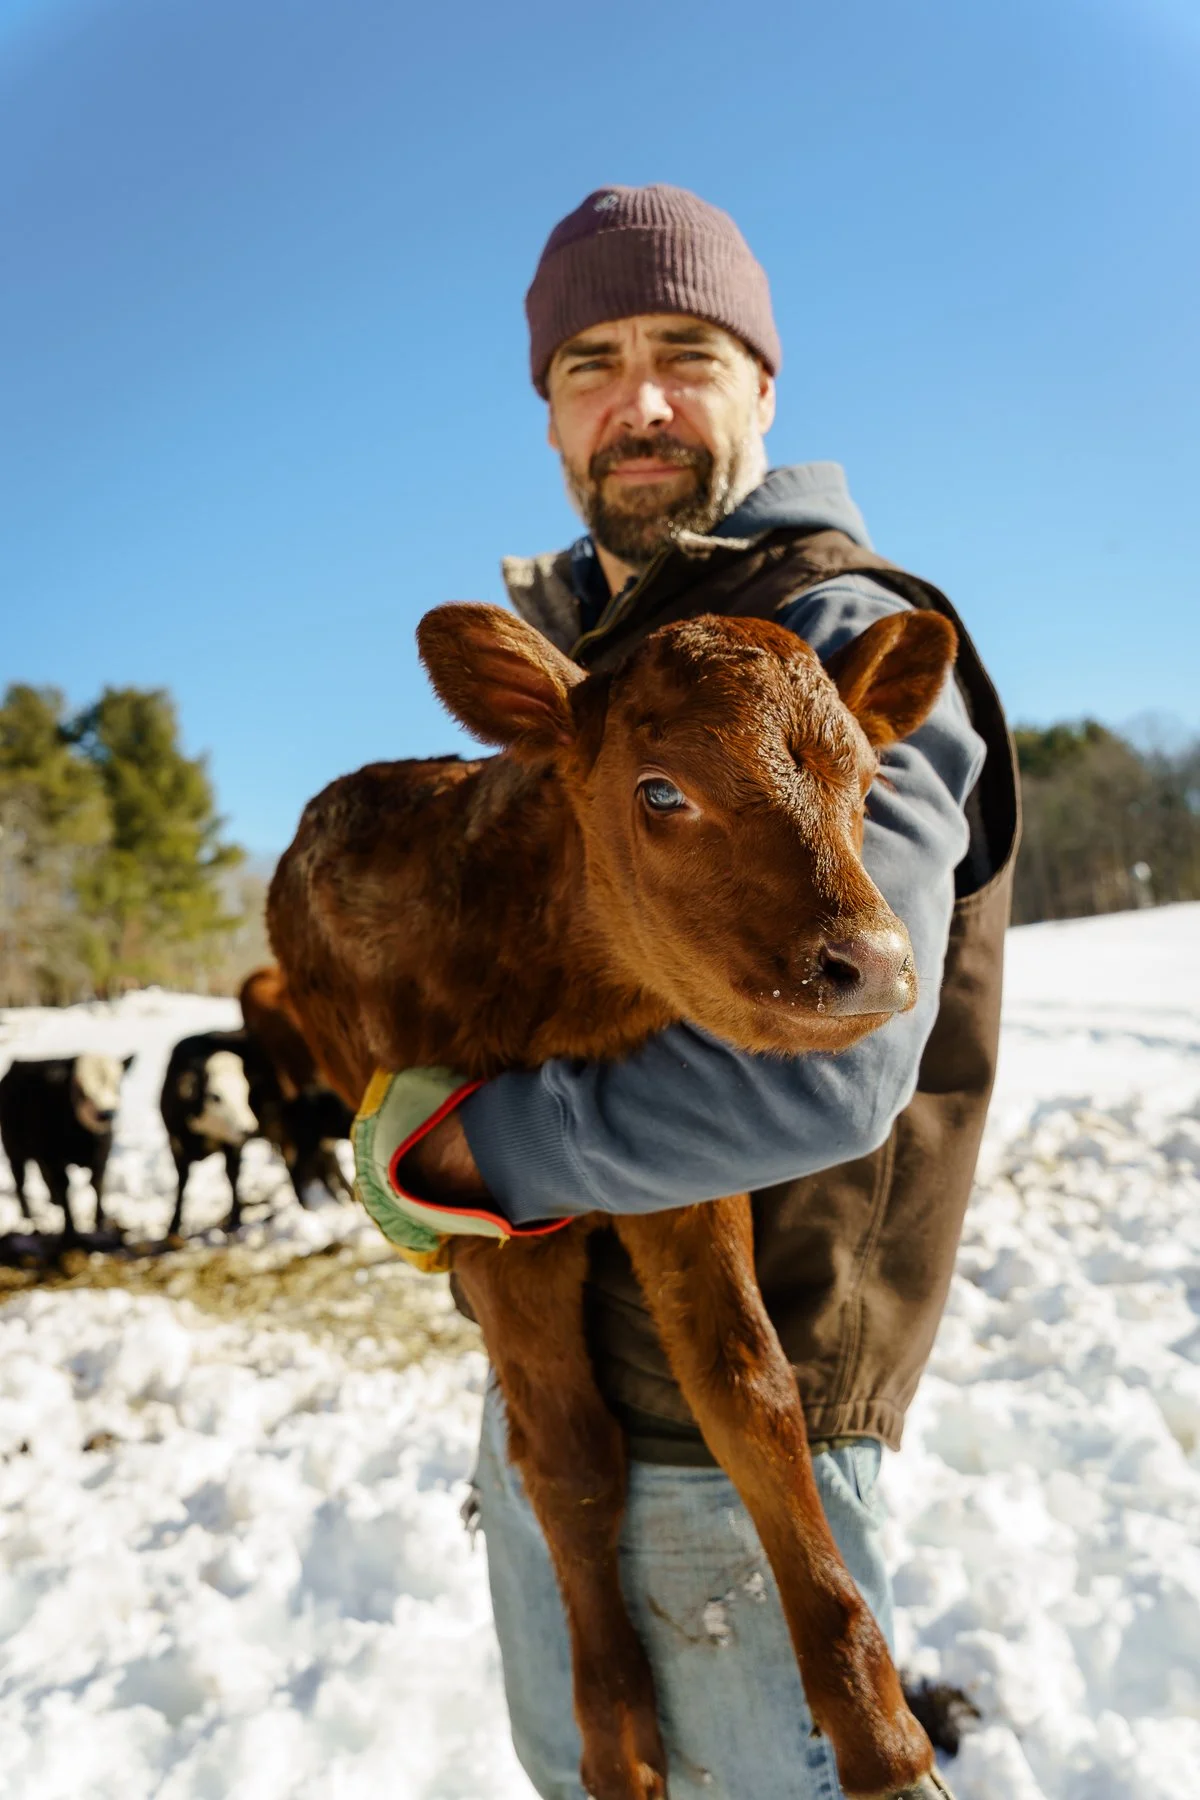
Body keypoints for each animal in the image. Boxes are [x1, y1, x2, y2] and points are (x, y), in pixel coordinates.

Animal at [0, 1053, 134, 1236]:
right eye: (82, 1091)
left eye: (116, 1084)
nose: (105, 1114)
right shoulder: (54, 1157)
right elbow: (64, 1185)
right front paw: (70, 1230)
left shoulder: (102, 1152)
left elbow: (97, 1183)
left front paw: (100, 1221)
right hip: (14, 1149)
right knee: (20, 1182)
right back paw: (29, 1217)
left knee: (43, 1173)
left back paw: (53, 1201)